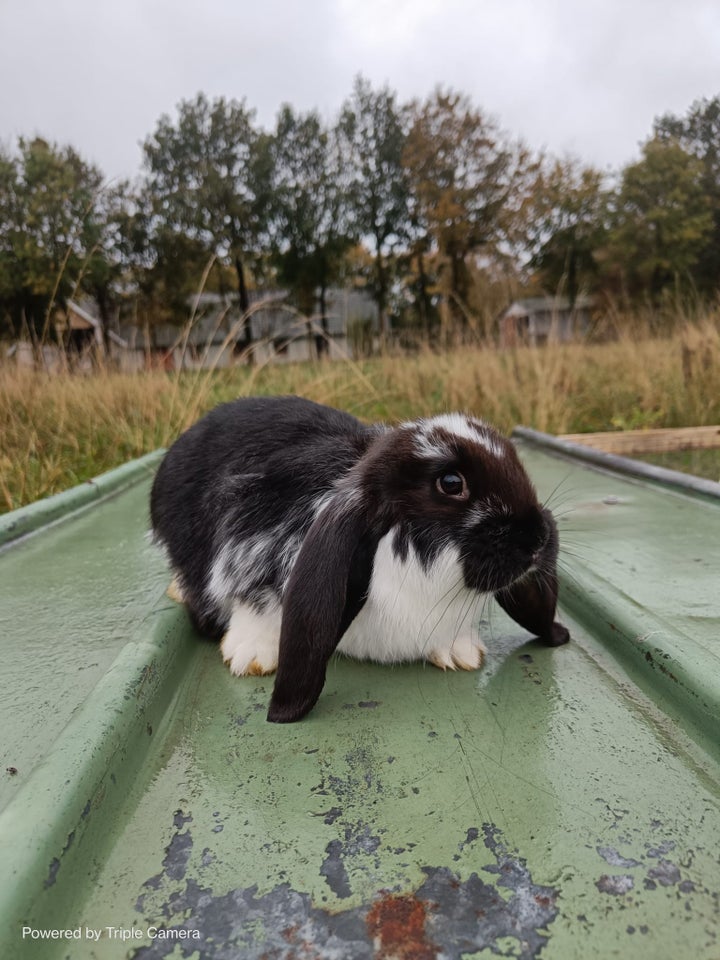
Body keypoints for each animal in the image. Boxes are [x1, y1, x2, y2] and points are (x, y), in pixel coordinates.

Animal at [150, 396, 568, 720]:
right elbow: (252, 594)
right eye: (451, 483)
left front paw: (459, 651)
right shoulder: (251, 540)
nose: (539, 538)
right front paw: (251, 654)